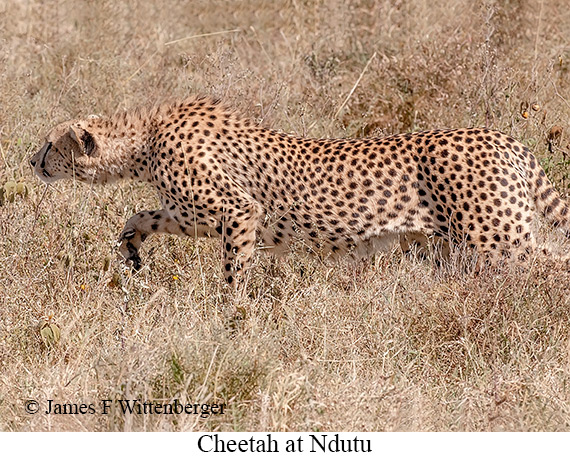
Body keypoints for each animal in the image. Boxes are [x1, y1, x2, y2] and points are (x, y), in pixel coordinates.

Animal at [30, 97, 568, 288]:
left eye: (51, 144)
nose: (31, 161)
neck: (144, 139)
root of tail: (501, 135)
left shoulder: (239, 210)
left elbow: (233, 269)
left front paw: (232, 316)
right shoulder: (193, 213)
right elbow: (143, 216)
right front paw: (132, 248)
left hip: (496, 240)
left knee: (550, 259)